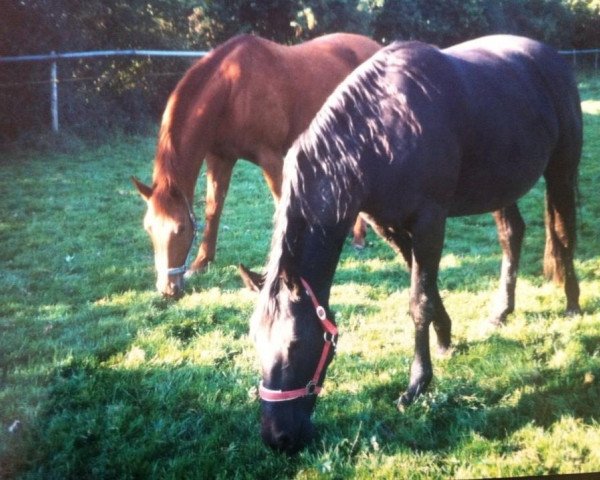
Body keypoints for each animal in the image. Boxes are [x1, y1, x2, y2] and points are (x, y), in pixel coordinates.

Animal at [132, 31, 380, 296]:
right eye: (148, 228)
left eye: (179, 228)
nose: (168, 289)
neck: (231, 89)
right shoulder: (219, 158)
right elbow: (213, 208)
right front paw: (201, 262)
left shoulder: (270, 157)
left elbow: (281, 205)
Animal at [250, 35, 580, 452]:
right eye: (255, 340)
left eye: (295, 344)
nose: (277, 436)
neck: (380, 132)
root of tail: (550, 56)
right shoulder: (389, 226)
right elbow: (426, 287)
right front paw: (446, 337)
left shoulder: (429, 222)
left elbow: (418, 301)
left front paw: (418, 384)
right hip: (502, 186)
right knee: (512, 235)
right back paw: (501, 312)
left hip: (562, 169)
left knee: (563, 233)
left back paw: (572, 304)